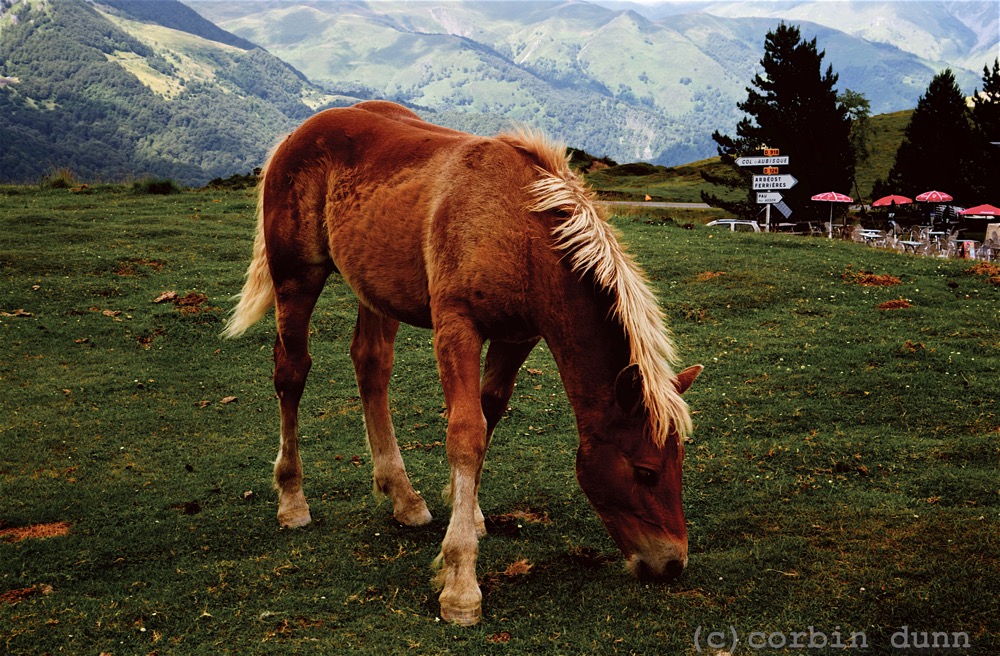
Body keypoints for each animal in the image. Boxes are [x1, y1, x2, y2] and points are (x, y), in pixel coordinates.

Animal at [223, 98, 700, 624]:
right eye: (645, 471)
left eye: (679, 463)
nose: (672, 563)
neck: (519, 228)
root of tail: (297, 134)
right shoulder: (457, 327)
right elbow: (466, 433)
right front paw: (460, 584)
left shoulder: (517, 338)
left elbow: (489, 413)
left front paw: (466, 512)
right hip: (297, 279)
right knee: (291, 373)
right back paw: (292, 500)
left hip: (374, 290)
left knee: (371, 367)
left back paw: (404, 497)